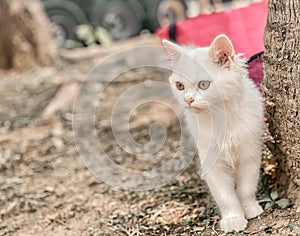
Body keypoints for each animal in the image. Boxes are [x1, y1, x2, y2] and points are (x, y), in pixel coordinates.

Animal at [163, 35, 264, 232]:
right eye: (180, 86)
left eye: (204, 85)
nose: (188, 99)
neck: (220, 118)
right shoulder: (211, 162)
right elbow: (225, 196)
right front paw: (233, 219)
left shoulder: (250, 155)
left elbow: (246, 188)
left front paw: (249, 208)